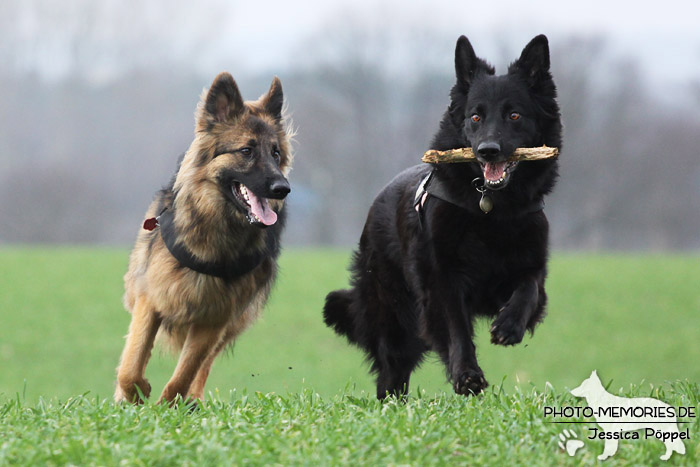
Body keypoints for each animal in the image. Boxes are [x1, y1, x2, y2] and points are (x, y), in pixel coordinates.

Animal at [114, 71, 292, 404]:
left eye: (276, 153)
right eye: (246, 151)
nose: (282, 188)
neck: (216, 229)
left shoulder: (215, 318)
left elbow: (185, 374)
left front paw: (170, 405)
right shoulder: (152, 297)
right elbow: (131, 364)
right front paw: (135, 394)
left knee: (203, 365)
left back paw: (193, 401)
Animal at [324, 35, 564, 398]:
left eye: (514, 115)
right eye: (475, 117)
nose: (488, 151)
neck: (491, 211)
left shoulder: (532, 266)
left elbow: (529, 289)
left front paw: (509, 325)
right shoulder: (443, 279)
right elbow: (456, 330)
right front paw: (467, 375)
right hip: (396, 323)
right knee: (390, 374)